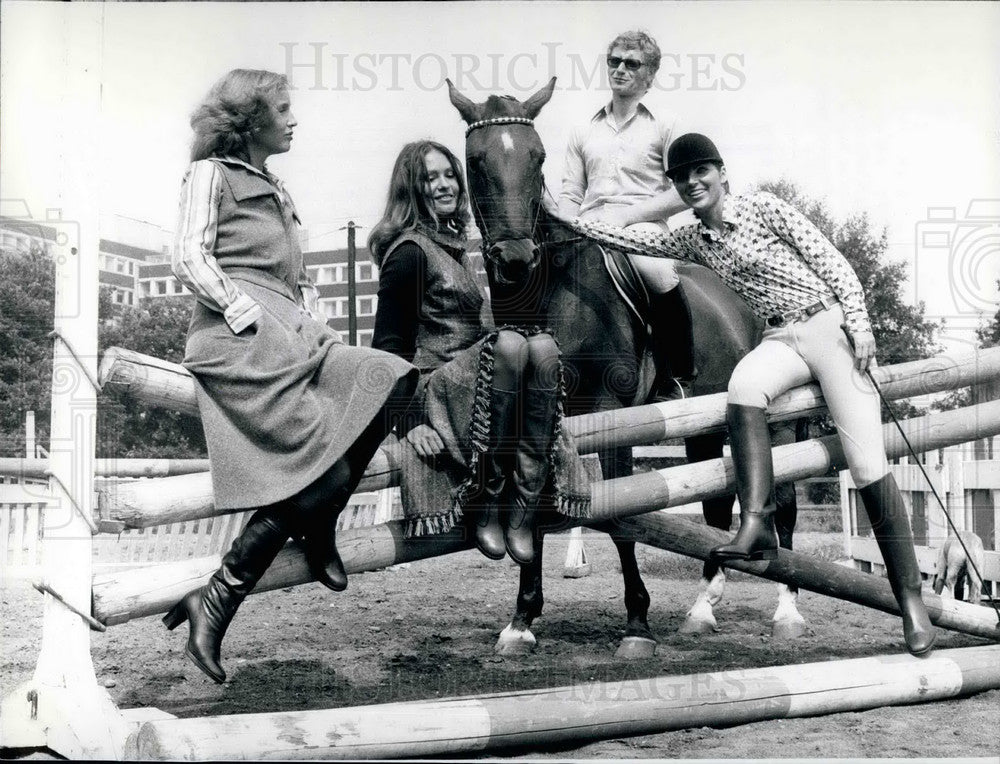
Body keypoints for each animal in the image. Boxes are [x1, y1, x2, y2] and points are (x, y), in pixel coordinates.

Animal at [450, 77, 808, 652]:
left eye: (537, 156)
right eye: (476, 160)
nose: (515, 259)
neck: (551, 292)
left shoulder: (612, 411)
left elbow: (621, 519)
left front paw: (637, 622)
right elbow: (533, 507)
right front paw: (521, 621)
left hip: (782, 421)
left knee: (785, 500)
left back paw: (787, 612)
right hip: (703, 425)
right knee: (715, 506)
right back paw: (703, 607)